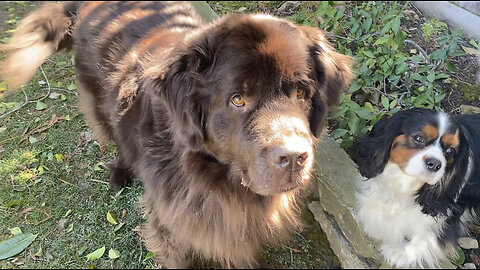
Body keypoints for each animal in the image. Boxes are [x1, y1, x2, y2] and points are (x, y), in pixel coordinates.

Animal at [0, 1, 352, 268]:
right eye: (238, 99)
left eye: (301, 93)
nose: (293, 157)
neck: (215, 177)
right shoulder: (171, 224)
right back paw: (119, 173)